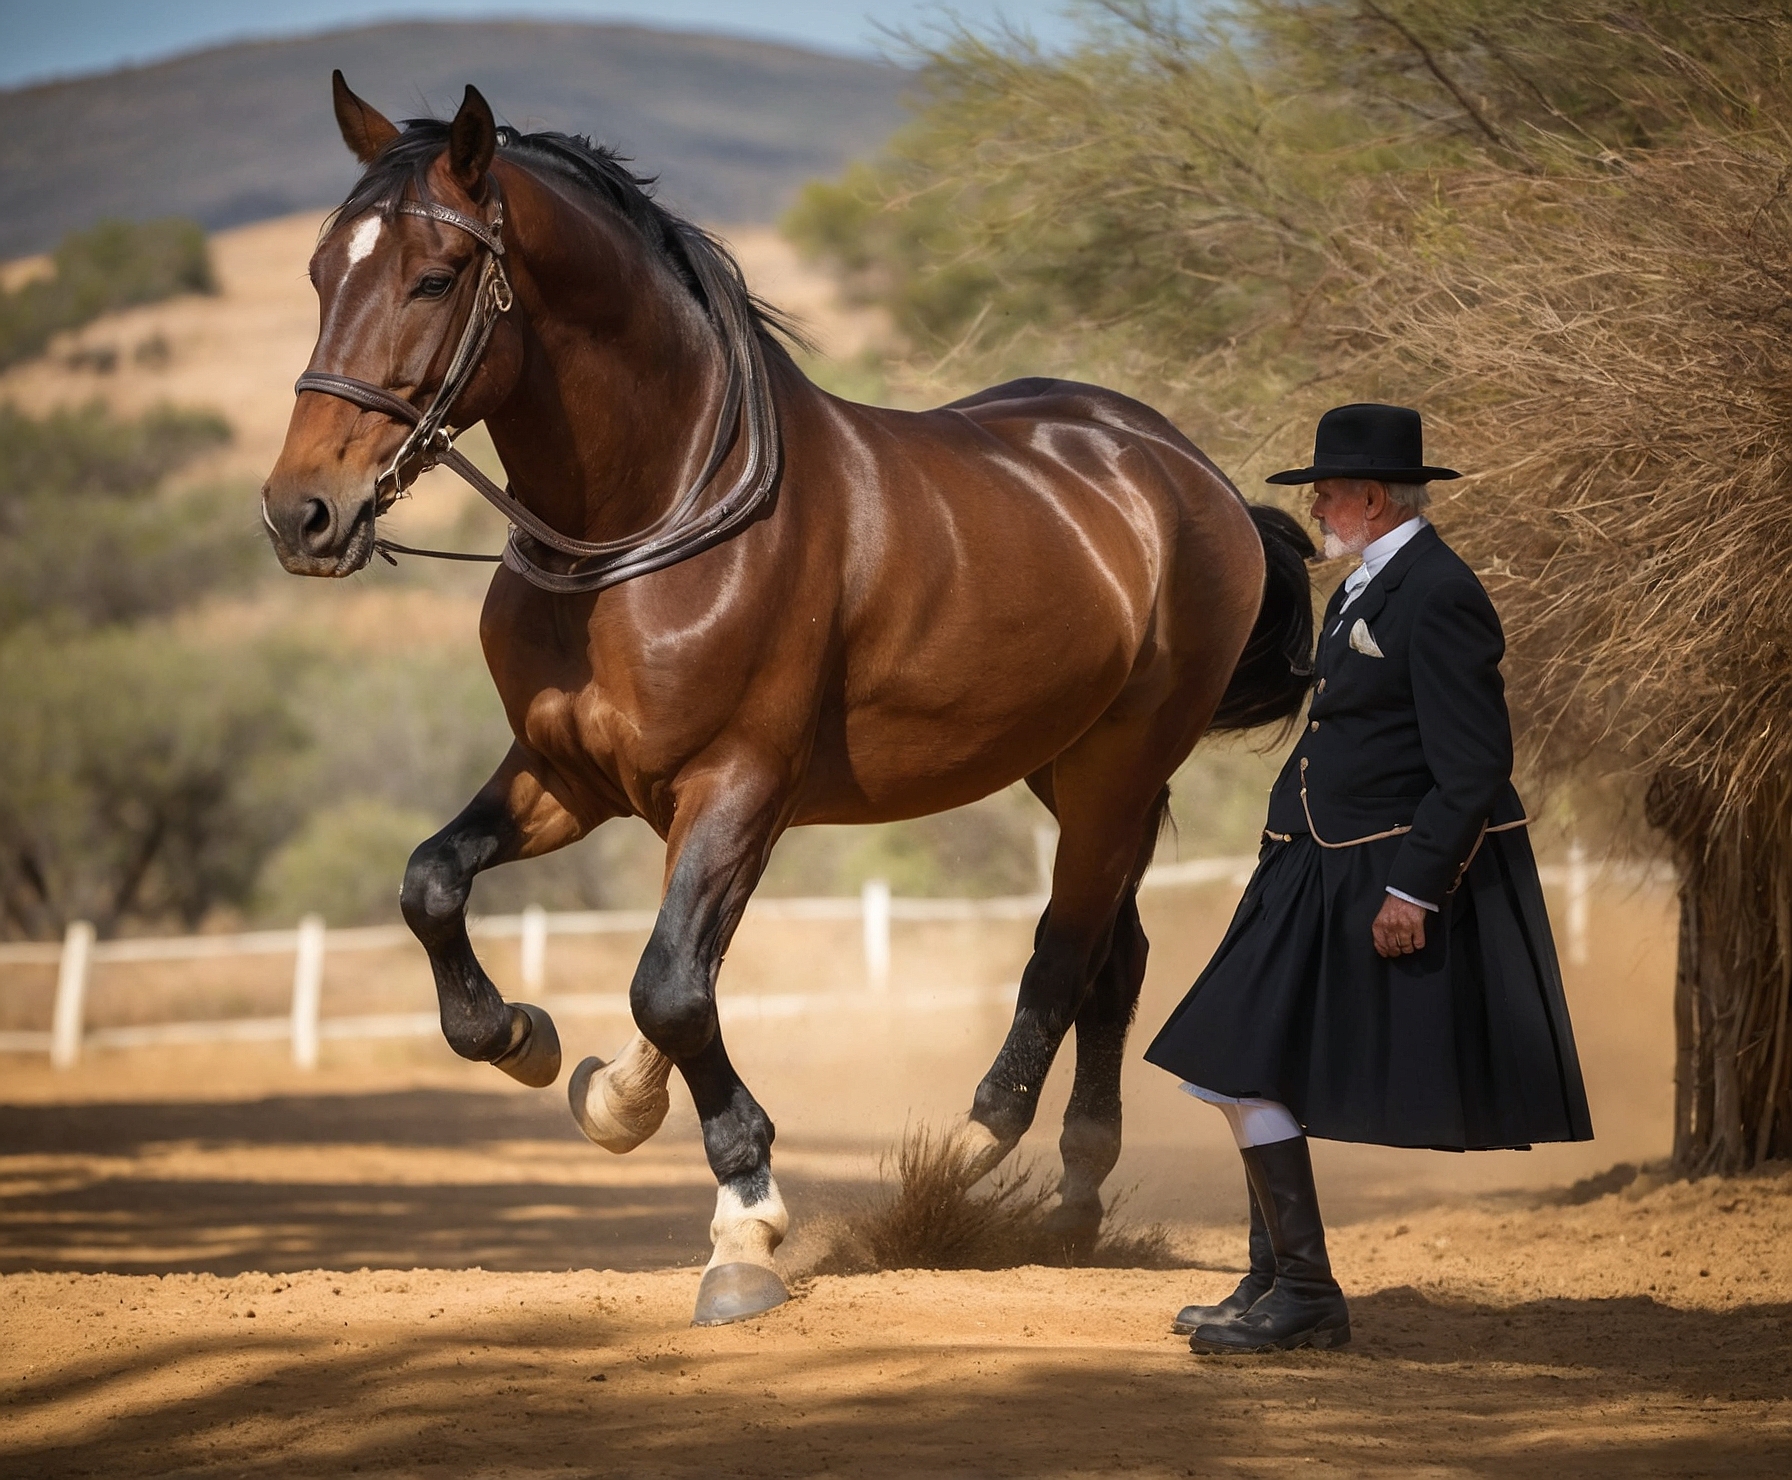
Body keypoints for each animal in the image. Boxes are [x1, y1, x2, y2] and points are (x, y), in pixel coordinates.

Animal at [261, 74, 1315, 1326]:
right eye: (320, 273)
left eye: (431, 276)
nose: (302, 512)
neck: (655, 517)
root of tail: (1188, 473)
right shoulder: (568, 774)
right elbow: (436, 884)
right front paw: (536, 1044)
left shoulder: (739, 788)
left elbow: (671, 984)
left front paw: (745, 1224)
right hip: (1065, 767)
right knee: (1117, 955)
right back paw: (1072, 1198)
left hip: (1121, 763)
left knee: (1062, 952)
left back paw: (968, 1150)